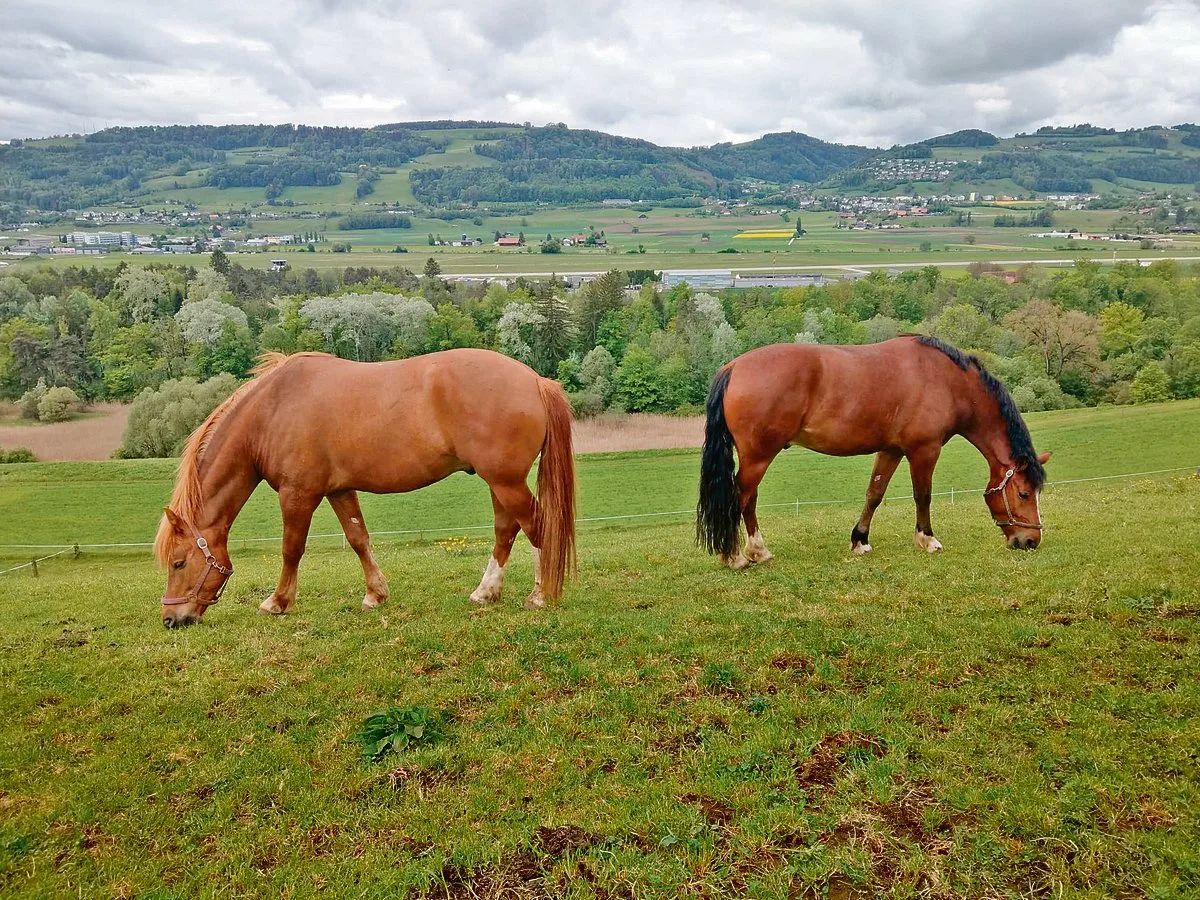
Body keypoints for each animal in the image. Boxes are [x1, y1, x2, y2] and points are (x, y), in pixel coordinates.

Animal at [156, 350, 576, 628]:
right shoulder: (339, 490)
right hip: (499, 482)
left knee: (537, 527)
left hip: (505, 482)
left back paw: (540, 595)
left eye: (178, 562)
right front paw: (376, 594)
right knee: (507, 531)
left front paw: (277, 601)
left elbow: (292, 548)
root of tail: (536, 382)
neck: (272, 411)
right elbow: (358, 538)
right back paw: (486, 592)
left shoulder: (298, 494)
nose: (171, 618)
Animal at [697, 335, 1051, 569]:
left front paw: (860, 540)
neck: (948, 381)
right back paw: (739, 555)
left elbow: (874, 494)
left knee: (749, 499)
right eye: (1023, 493)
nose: (1031, 541)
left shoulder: (891, 450)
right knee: (741, 497)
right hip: (758, 457)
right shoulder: (924, 450)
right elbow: (923, 496)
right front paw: (927, 539)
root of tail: (733, 368)